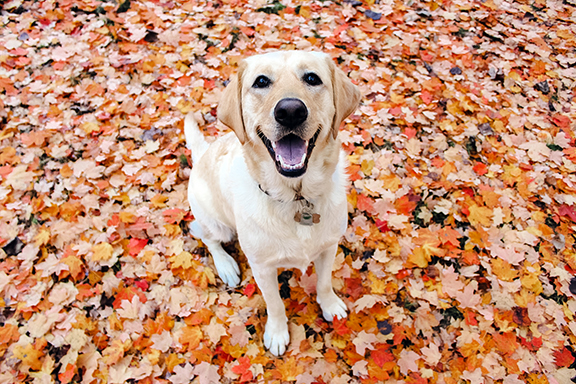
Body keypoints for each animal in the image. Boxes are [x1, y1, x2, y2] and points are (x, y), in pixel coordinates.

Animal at [184, 51, 360, 356]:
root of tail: (202, 153)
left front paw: (329, 305)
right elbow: (275, 303)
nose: (290, 111)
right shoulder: (262, 267)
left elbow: (324, 282)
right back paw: (226, 265)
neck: (296, 199)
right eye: (261, 82)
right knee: (208, 238)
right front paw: (277, 333)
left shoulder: (329, 247)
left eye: (312, 78)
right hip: (214, 221)